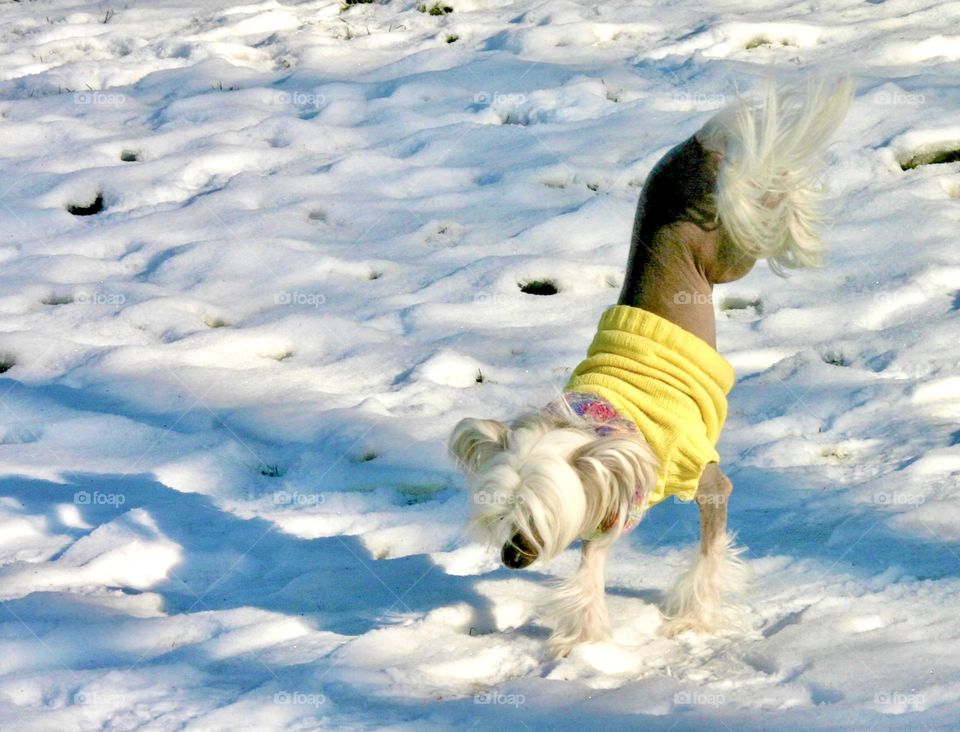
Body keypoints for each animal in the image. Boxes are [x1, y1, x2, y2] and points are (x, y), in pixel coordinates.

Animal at [446, 77, 852, 656]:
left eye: (536, 517)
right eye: (501, 514)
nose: (509, 558)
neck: (596, 422)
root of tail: (698, 148)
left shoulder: (702, 477)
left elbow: (709, 551)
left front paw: (693, 621)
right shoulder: (607, 503)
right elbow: (591, 572)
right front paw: (586, 642)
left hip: (731, 249)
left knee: (764, 202)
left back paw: (791, 199)